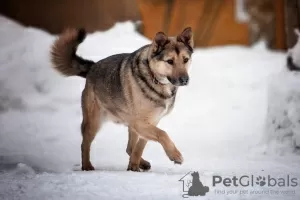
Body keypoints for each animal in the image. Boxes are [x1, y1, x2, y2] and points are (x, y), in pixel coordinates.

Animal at [50, 26, 193, 171]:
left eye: (185, 60)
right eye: (170, 61)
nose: (185, 80)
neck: (156, 79)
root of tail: (93, 67)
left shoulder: (151, 122)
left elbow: (139, 147)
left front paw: (134, 166)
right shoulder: (138, 122)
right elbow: (163, 134)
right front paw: (175, 155)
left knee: (129, 148)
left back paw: (138, 164)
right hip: (93, 122)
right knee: (85, 144)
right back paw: (87, 166)